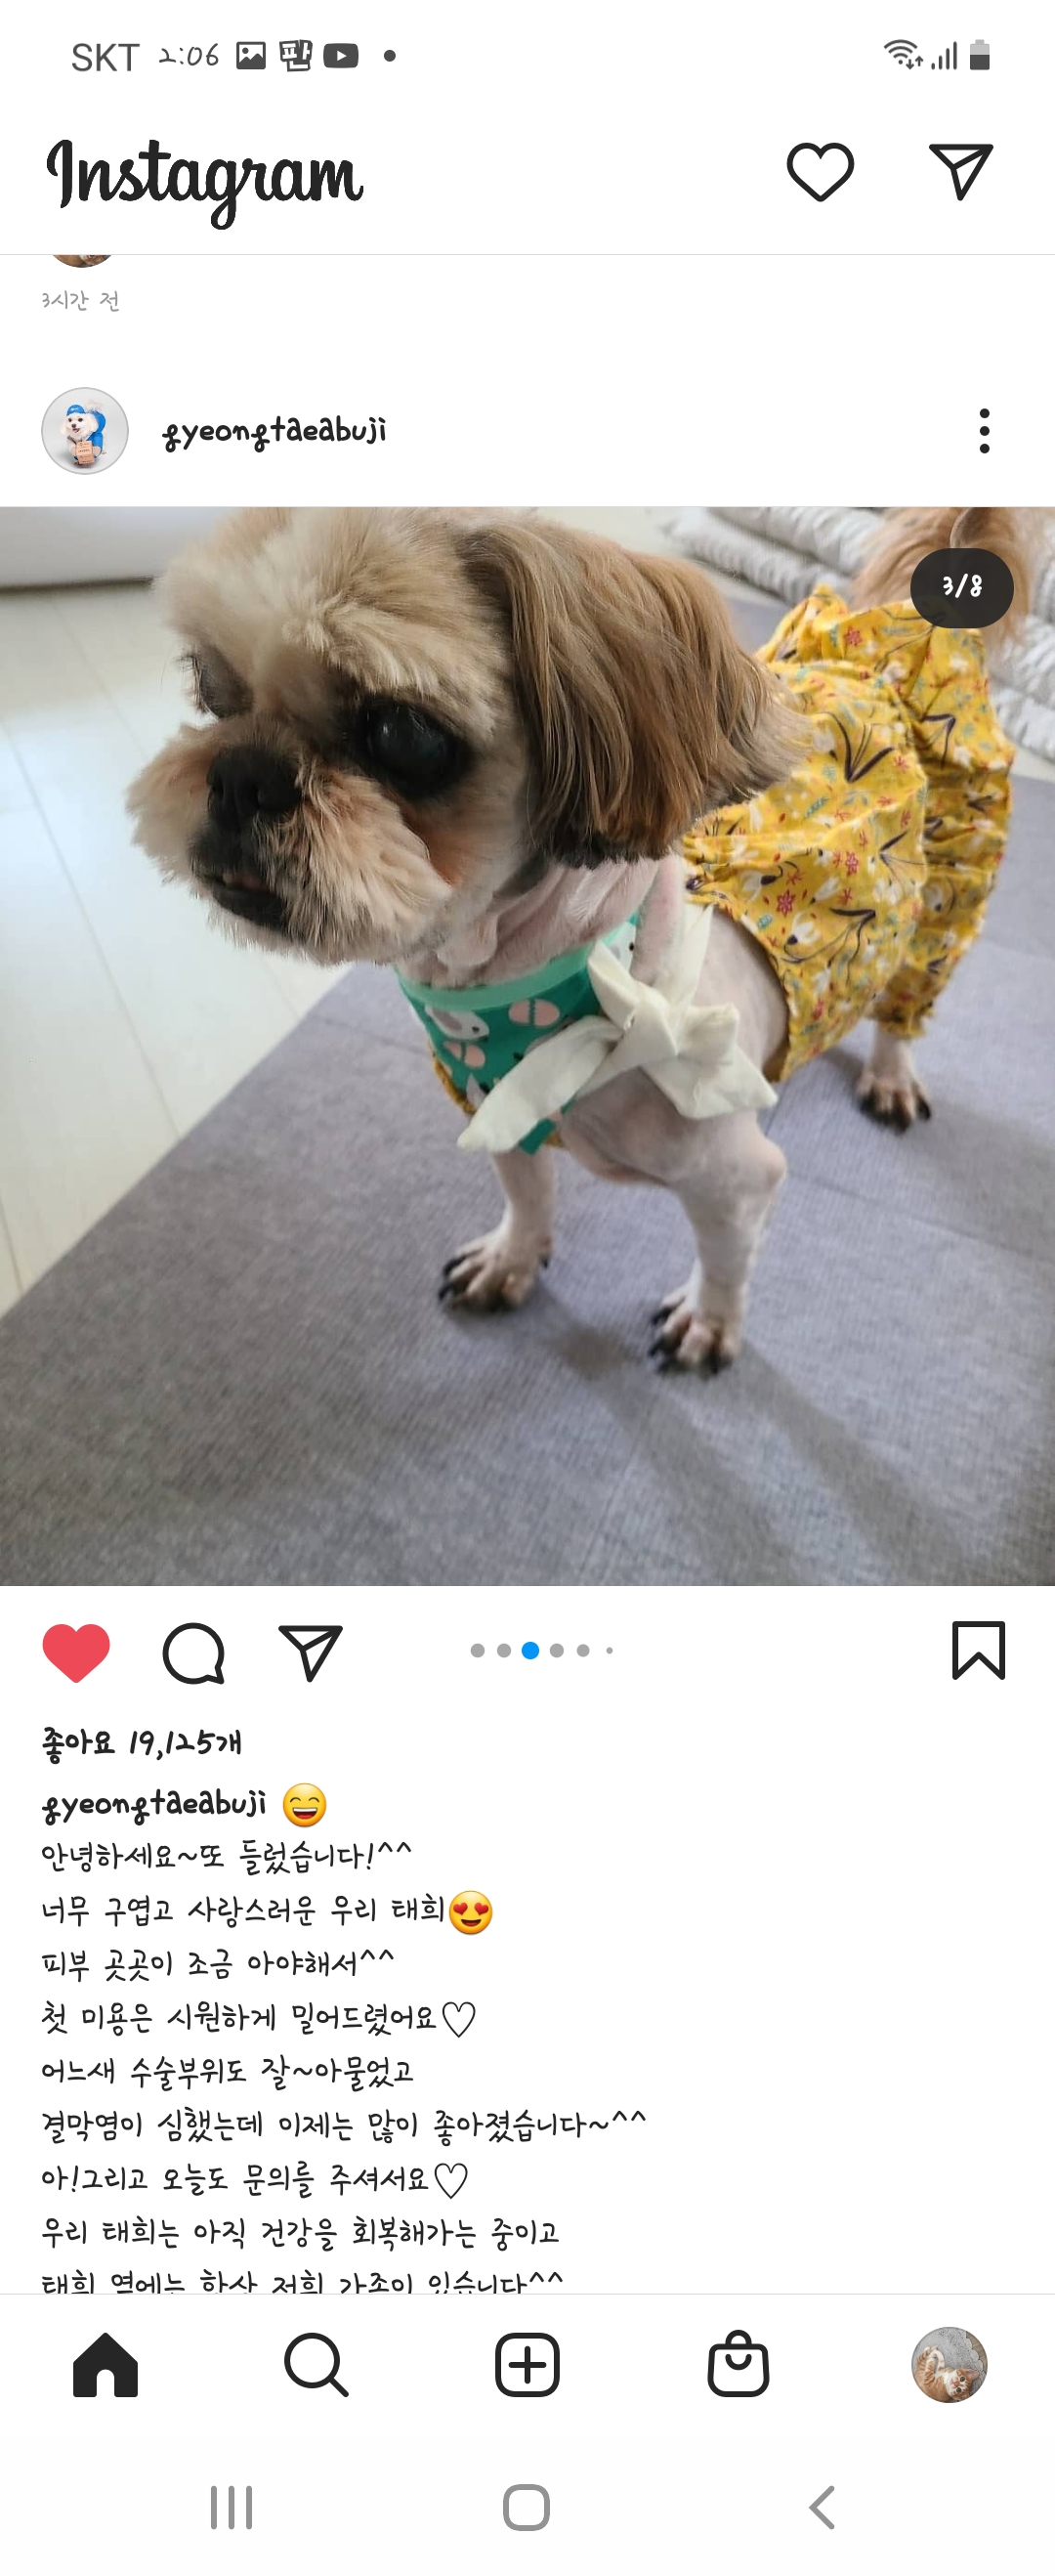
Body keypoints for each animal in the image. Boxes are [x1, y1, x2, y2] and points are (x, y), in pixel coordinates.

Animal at [128, 504, 1028, 1371]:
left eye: (405, 735)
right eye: (208, 683)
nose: (241, 774)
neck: (582, 979)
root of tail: (903, 630)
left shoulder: (736, 1182)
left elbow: (727, 1262)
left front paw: (709, 1322)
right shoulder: (497, 1114)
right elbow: (528, 1195)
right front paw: (513, 1260)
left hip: (945, 900)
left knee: (904, 1000)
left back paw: (891, 1071)